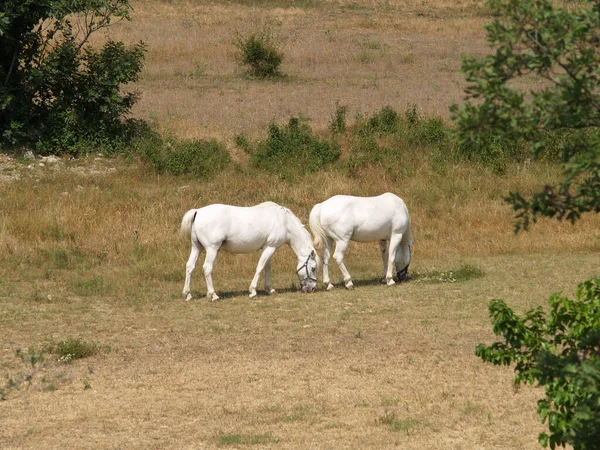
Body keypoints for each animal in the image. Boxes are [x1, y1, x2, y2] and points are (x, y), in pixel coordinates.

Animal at [180, 202, 318, 300]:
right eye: (313, 268)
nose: (312, 288)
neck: (284, 222)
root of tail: (198, 211)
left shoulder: (268, 248)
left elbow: (267, 267)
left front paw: (269, 289)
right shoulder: (270, 247)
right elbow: (260, 267)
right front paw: (253, 291)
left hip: (196, 247)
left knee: (190, 266)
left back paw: (187, 294)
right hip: (212, 249)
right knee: (207, 268)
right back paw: (213, 295)